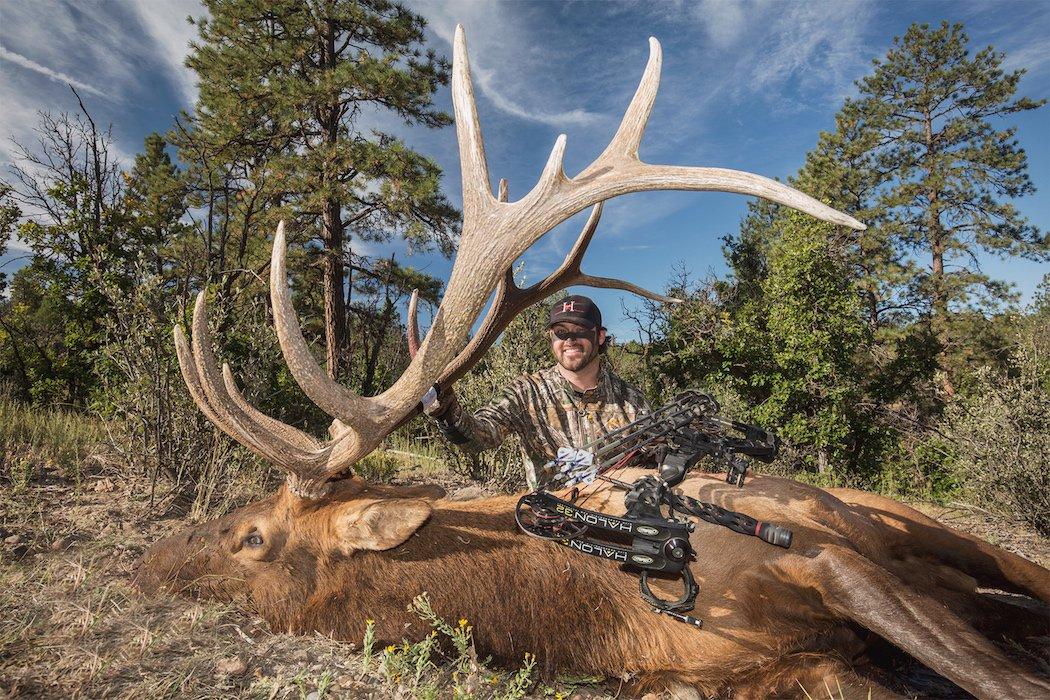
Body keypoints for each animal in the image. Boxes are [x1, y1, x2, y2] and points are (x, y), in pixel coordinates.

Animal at [135, 26, 1049, 699]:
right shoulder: (793, 665)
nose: (153, 555)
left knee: (1018, 573)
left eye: (250, 536)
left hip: (914, 527)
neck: (589, 607)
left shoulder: (824, 560)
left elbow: (1005, 683)